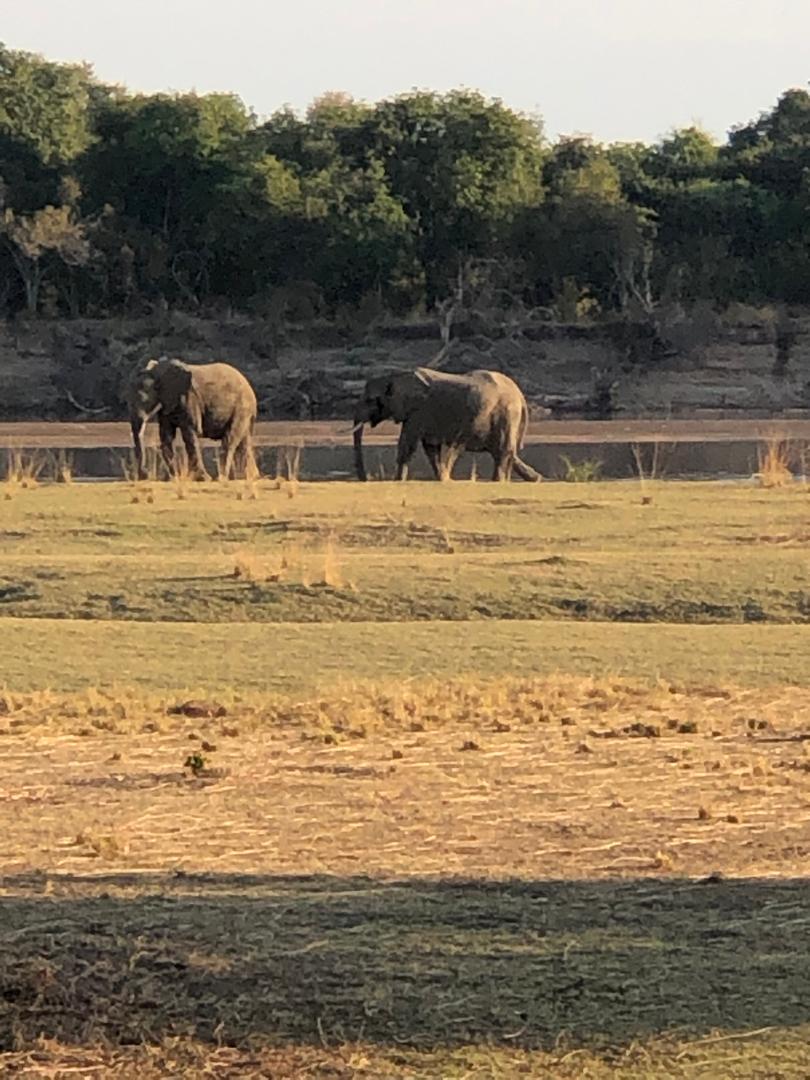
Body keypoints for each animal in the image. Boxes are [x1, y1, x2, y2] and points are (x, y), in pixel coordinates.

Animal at [128, 357, 257, 481]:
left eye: (144, 400)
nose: (145, 474)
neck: (158, 372)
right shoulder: (167, 405)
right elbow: (166, 435)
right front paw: (173, 478)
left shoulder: (189, 398)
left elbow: (190, 432)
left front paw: (203, 479)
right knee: (245, 441)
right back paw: (249, 477)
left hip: (242, 408)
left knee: (230, 439)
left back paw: (221, 478)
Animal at [353, 367, 541, 482]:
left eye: (370, 400)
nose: (365, 479)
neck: (396, 377)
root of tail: (520, 396)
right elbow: (430, 448)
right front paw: (443, 479)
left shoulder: (418, 412)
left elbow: (407, 445)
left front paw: (398, 481)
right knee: (503, 452)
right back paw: (535, 479)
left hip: (505, 414)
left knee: (502, 451)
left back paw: (499, 481)